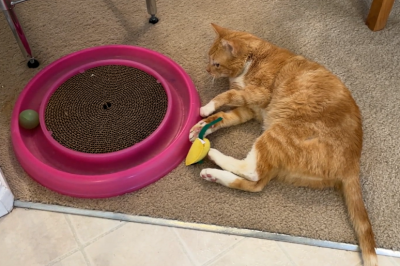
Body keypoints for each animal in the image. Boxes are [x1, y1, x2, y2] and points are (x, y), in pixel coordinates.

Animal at [191, 23, 378, 266]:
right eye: (209, 60)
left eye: (216, 63)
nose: (207, 70)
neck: (255, 58)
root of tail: (353, 165)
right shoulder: (248, 110)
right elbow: (223, 117)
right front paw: (199, 128)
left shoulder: (258, 94)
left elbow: (226, 95)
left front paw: (206, 108)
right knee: (256, 183)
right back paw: (212, 174)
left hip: (278, 133)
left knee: (251, 170)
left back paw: (213, 154)